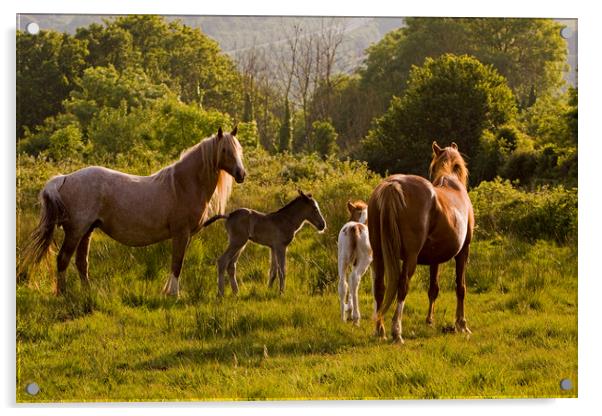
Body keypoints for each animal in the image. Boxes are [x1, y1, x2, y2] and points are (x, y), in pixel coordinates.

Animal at [19, 127, 244, 296]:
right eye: (225, 150)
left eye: (238, 150)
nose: (241, 174)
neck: (182, 184)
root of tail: (64, 178)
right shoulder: (181, 233)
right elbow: (177, 264)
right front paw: (174, 294)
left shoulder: (184, 236)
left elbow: (176, 262)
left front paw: (167, 291)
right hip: (75, 231)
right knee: (63, 260)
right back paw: (63, 294)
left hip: (86, 232)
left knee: (81, 263)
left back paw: (87, 293)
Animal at [366, 141, 474, 342]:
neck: (452, 182)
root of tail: (392, 185)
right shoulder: (463, 252)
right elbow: (460, 288)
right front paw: (461, 324)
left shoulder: (435, 259)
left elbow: (433, 289)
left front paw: (429, 321)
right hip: (410, 258)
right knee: (402, 286)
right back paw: (396, 331)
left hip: (378, 254)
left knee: (379, 287)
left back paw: (380, 330)